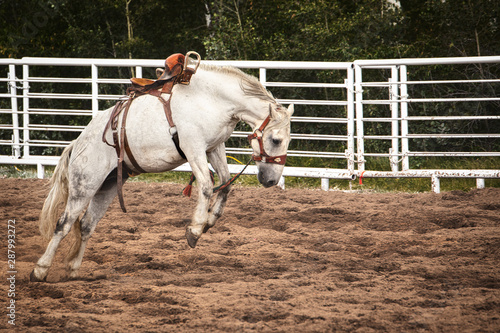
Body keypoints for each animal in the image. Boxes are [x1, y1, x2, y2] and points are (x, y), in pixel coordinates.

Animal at [30, 63, 292, 280]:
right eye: (276, 139)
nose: (271, 180)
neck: (212, 99)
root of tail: (78, 143)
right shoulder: (193, 147)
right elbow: (207, 186)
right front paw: (195, 229)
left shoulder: (214, 147)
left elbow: (226, 183)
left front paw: (210, 220)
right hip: (84, 185)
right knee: (64, 224)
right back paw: (40, 270)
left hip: (107, 186)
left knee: (86, 225)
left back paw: (73, 269)